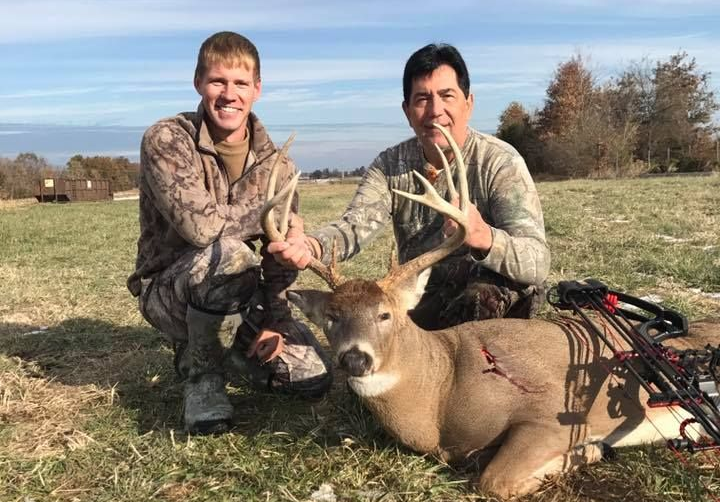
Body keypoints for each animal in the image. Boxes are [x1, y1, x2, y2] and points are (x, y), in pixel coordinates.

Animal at [261, 125, 720, 498]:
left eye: (385, 314)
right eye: (332, 317)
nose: (355, 358)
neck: (441, 395)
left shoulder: (550, 414)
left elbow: (494, 480)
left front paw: (588, 452)